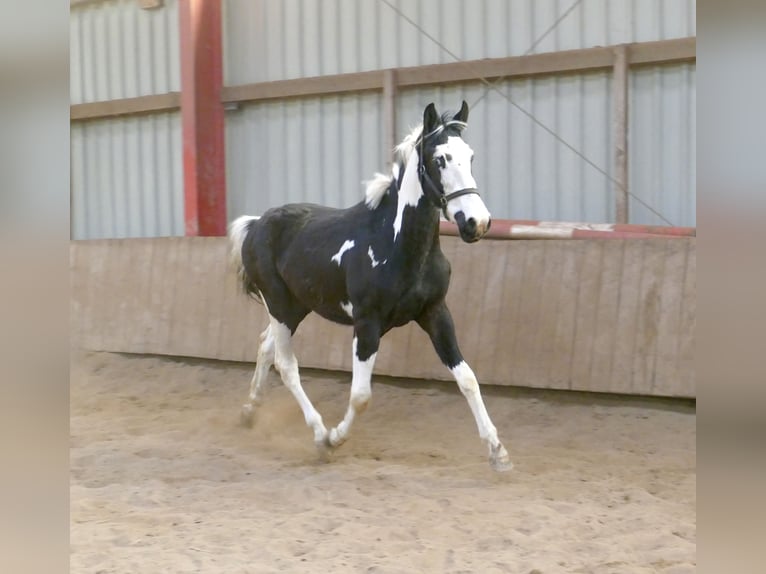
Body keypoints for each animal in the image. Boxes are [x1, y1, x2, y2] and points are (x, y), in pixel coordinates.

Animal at [228, 101, 512, 471]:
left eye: (471, 156)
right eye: (440, 159)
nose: (477, 223)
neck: (395, 243)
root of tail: (255, 224)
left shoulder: (435, 313)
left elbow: (468, 379)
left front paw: (497, 451)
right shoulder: (367, 324)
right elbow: (361, 396)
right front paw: (333, 439)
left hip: (295, 308)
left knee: (266, 346)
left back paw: (249, 412)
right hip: (280, 305)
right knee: (286, 364)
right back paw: (318, 434)